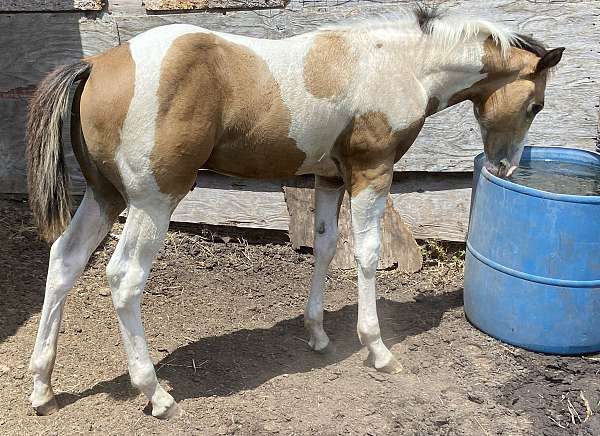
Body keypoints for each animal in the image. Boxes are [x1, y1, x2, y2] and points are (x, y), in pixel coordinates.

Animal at [25, 5, 564, 416]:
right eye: (535, 105)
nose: (505, 167)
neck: (397, 63)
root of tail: (97, 63)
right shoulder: (372, 170)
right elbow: (367, 254)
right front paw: (377, 350)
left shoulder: (329, 178)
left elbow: (325, 247)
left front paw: (319, 335)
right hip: (153, 200)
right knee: (123, 277)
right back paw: (155, 393)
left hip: (106, 196)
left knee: (65, 260)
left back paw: (42, 387)